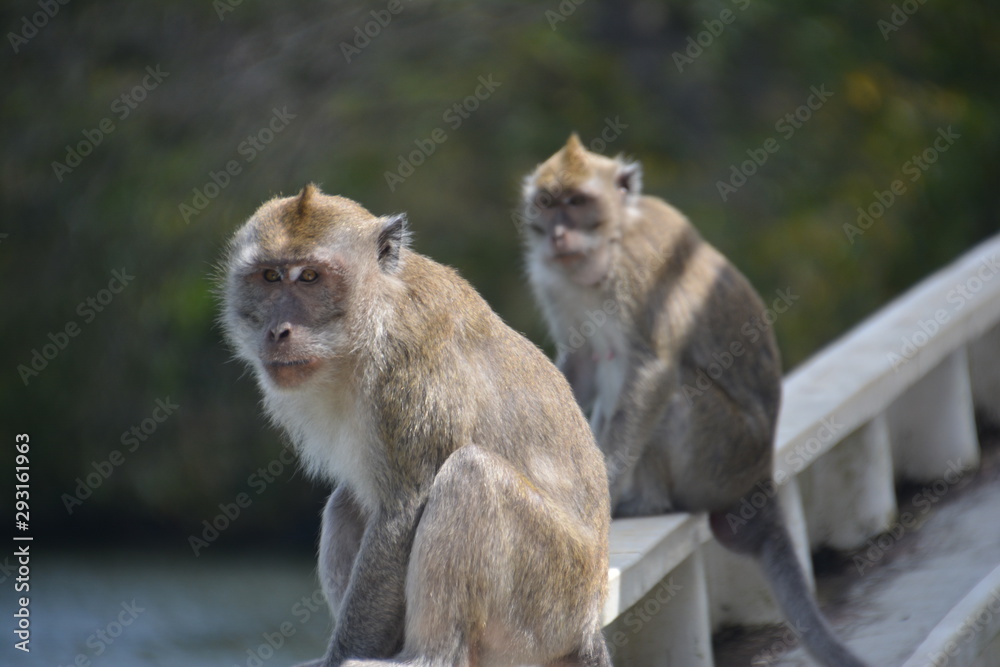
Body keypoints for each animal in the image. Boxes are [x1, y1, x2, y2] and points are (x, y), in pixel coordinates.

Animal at [219, 184, 612, 667]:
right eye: (270, 277)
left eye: (310, 276)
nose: (278, 330)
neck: (370, 323)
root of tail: (589, 622)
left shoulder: (410, 372)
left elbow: (401, 514)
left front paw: (341, 655)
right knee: (347, 501)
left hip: (551, 601)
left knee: (471, 474)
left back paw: (431, 655)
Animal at [519, 135, 866, 667]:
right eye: (547, 202)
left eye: (577, 202)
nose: (557, 234)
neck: (608, 246)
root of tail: (760, 478)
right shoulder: (554, 283)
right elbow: (578, 366)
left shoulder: (640, 268)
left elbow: (654, 367)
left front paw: (604, 491)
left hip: (717, 459)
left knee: (678, 392)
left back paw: (644, 502)